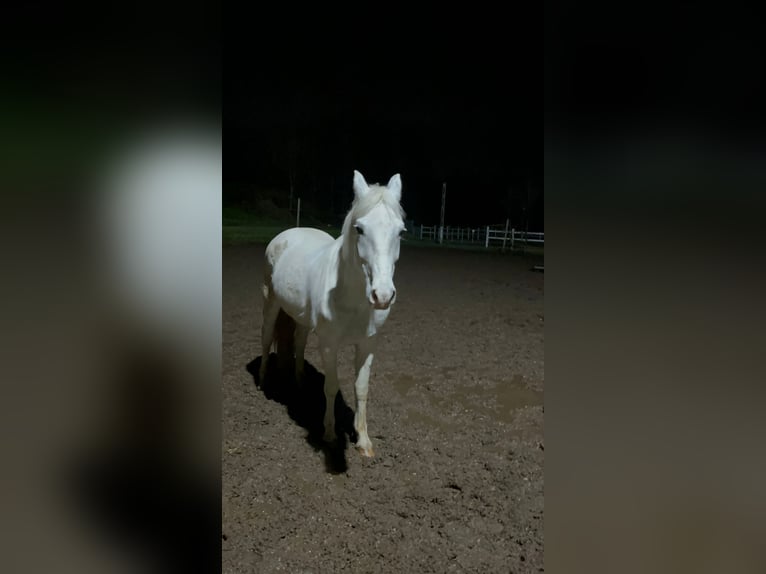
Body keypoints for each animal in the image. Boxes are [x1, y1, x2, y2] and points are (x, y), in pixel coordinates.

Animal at [260, 169, 408, 456]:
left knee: (299, 342)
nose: (383, 296)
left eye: (400, 232)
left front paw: (364, 441)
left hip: (301, 318)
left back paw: (299, 381)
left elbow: (361, 388)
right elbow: (330, 386)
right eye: (359, 229)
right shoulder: (329, 343)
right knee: (266, 336)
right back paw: (262, 382)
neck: (353, 298)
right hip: (270, 302)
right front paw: (329, 434)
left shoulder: (367, 343)